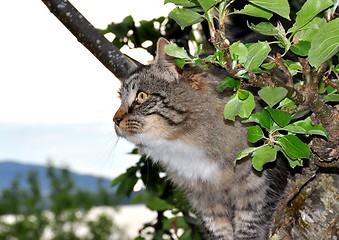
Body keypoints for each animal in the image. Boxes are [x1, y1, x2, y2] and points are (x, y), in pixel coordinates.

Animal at [115, 38, 290, 239]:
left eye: (141, 97)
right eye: (120, 100)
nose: (114, 120)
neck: (187, 149)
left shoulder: (259, 192)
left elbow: (249, 230)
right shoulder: (206, 204)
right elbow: (219, 233)